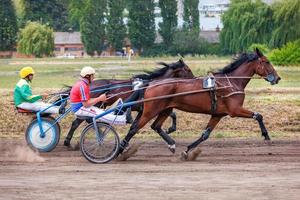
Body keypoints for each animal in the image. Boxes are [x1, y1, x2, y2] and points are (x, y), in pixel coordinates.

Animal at [63, 58, 195, 146]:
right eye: (188, 69)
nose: (194, 79)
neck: (153, 84)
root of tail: (90, 85)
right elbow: (173, 114)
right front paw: (170, 129)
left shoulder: (145, 109)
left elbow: (171, 114)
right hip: (93, 104)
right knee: (83, 120)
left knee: (78, 122)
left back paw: (70, 141)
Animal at [119, 48, 282, 159]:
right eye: (267, 62)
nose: (277, 78)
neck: (231, 82)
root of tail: (151, 83)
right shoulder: (235, 110)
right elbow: (258, 115)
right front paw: (266, 135)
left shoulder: (218, 114)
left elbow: (205, 135)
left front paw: (187, 150)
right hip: (150, 110)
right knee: (135, 128)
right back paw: (120, 150)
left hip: (165, 109)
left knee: (156, 126)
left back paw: (171, 144)